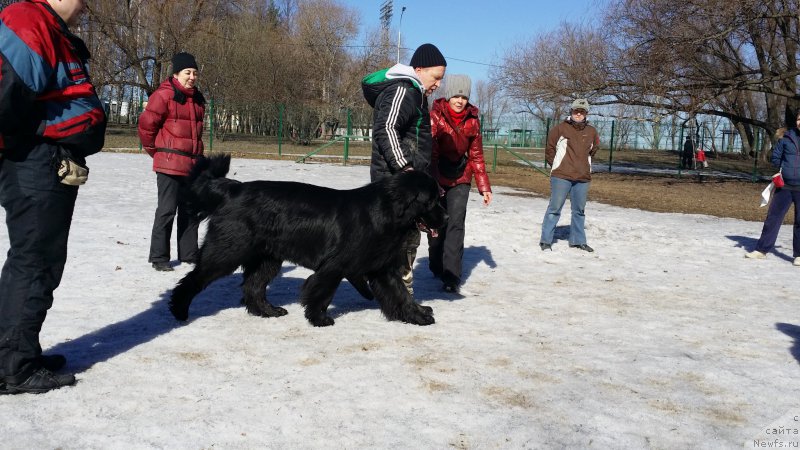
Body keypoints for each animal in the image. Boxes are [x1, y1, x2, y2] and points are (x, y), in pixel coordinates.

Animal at [170, 155, 446, 326]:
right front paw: (318, 319)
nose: (446, 217)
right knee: (193, 279)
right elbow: (321, 291)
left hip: (267, 258)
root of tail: (232, 189)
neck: (386, 212)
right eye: (432, 200)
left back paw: (268, 311)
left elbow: (400, 294)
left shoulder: (382, 268)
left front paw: (418, 315)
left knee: (253, 287)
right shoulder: (335, 266)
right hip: (227, 251)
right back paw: (179, 311)